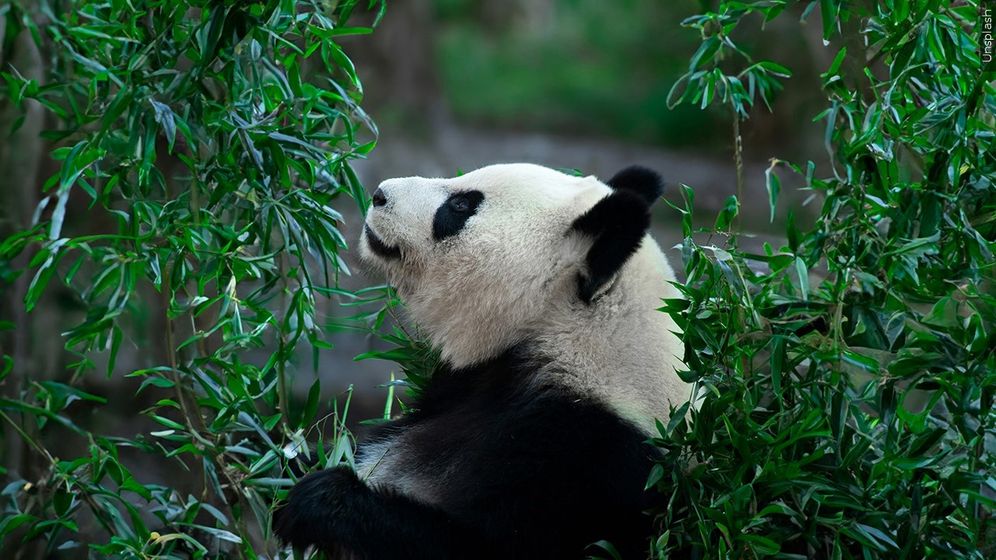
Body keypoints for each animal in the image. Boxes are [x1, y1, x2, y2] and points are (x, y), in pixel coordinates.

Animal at [274, 163, 693, 559]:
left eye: (461, 206)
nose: (379, 194)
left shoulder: (591, 465)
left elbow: (481, 546)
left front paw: (318, 500)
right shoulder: (470, 383)